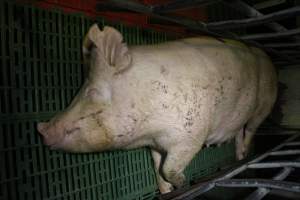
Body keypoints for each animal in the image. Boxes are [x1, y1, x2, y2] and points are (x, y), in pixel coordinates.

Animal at [36, 24, 278, 193]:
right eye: (80, 89)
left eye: (92, 91)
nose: (42, 130)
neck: (149, 131)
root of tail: (268, 58)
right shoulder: (154, 144)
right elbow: (157, 166)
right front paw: (165, 191)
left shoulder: (190, 136)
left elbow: (168, 168)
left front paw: (182, 183)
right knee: (239, 132)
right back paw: (239, 156)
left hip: (265, 104)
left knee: (251, 129)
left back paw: (245, 153)